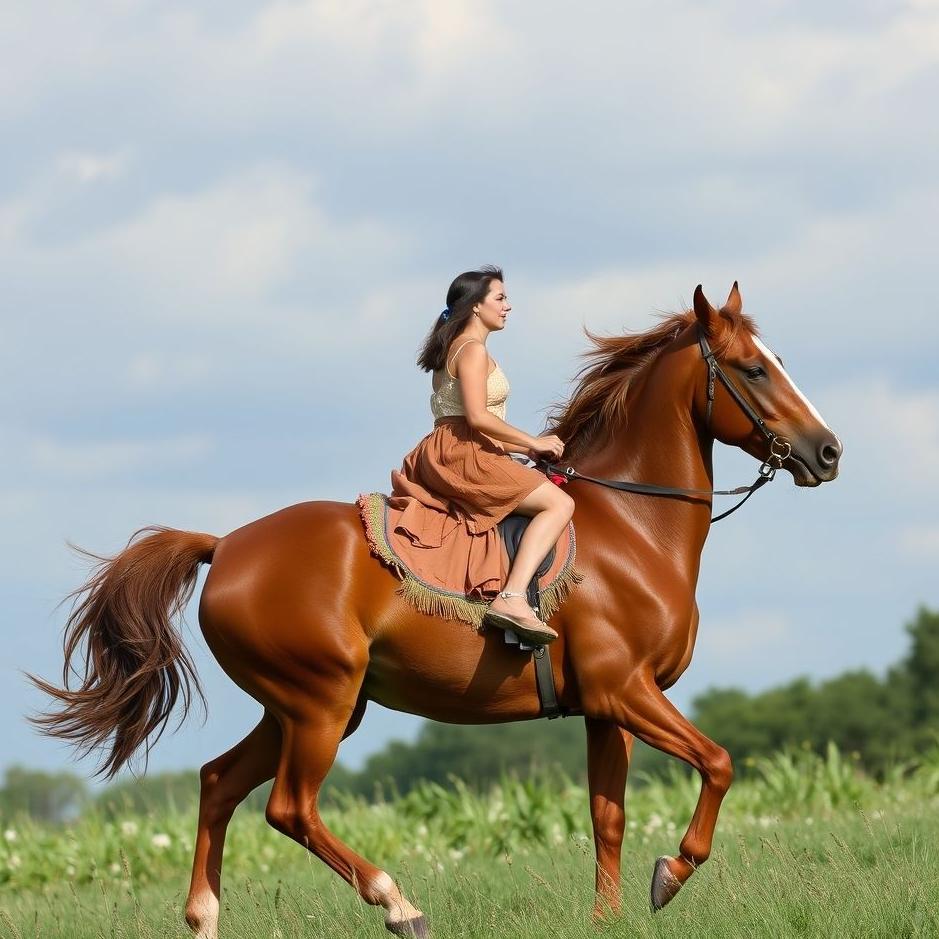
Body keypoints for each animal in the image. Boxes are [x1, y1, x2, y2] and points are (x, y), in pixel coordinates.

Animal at [31, 283, 841, 938]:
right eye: (753, 368)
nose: (828, 451)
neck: (633, 526)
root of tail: (224, 544)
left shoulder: (607, 708)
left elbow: (606, 815)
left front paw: (608, 918)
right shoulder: (626, 691)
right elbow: (718, 762)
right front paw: (670, 873)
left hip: (300, 707)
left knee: (218, 782)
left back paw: (205, 918)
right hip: (320, 703)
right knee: (288, 807)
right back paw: (399, 905)